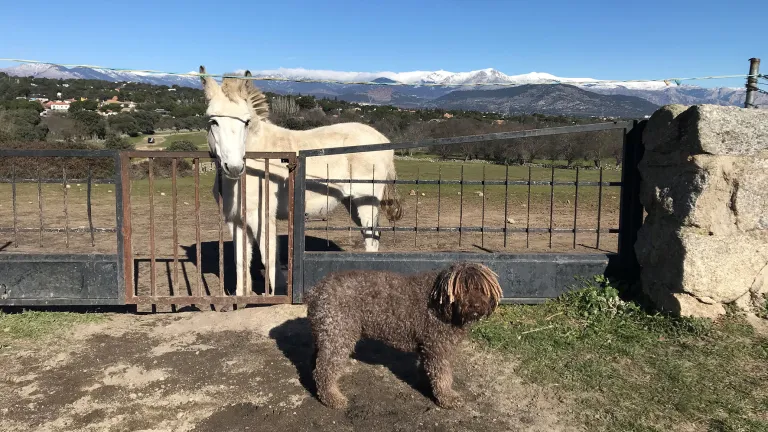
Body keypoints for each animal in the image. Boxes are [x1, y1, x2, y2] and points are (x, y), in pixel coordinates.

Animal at [198, 67, 404, 296]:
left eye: (246, 122)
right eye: (213, 121)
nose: (234, 168)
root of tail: (384, 141)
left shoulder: (261, 216)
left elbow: (269, 256)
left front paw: (278, 292)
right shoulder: (235, 220)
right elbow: (241, 260)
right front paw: (241, 296)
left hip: (366, 201)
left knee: (371, 239)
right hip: (352, 202)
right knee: (372, 236)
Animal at [306, 264, 504, 408]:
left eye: (482, 289)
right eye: (463, 289)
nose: (476, 305)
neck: (443, 304)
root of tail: (316, 290)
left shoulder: (427, 347)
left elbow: (427, 369)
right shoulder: (437, 347)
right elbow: (443, 376)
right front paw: (447, 397)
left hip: (325, 336)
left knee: (315, 363)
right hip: (339, 336)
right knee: (324, 370)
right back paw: (332, 397)